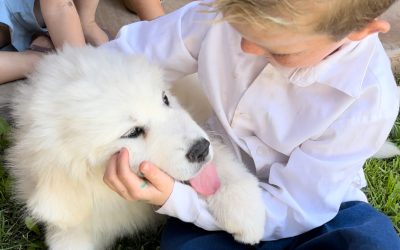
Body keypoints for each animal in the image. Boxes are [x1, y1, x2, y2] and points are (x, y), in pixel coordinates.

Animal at [6, 46, 266, 249]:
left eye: (164, 99)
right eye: (132, 133)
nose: (201, 150)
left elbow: (222, 163)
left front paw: (246, 214)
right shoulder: (72, 222)